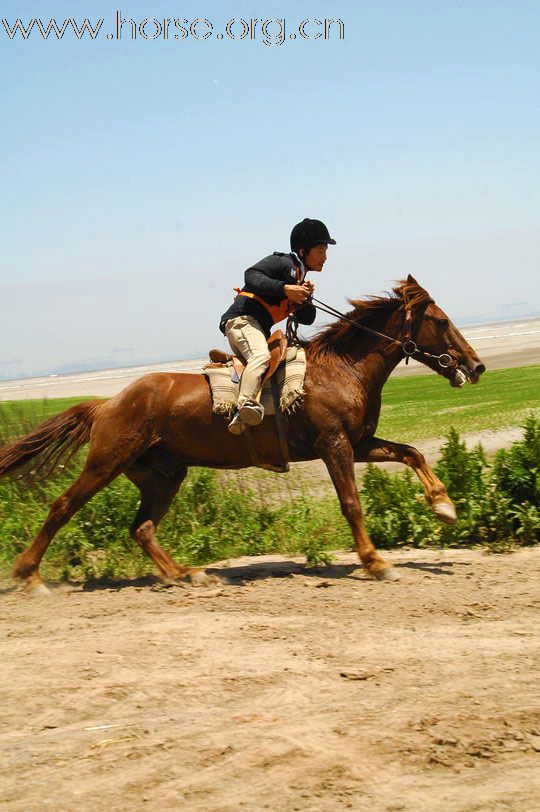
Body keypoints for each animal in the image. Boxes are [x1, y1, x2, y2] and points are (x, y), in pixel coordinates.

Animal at [0, 276, 486, 592]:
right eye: (441, 321)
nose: (476, 365)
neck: (342, 368)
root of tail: (107, 403)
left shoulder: (361, 443)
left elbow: (411, 453)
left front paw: (443, 506)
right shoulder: (335, 445)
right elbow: (352, 504)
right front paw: (376, 562)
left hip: (163, 475)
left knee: (142, 528)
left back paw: (184, 574)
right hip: (106, 462)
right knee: (62, 508)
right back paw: (29, 576)